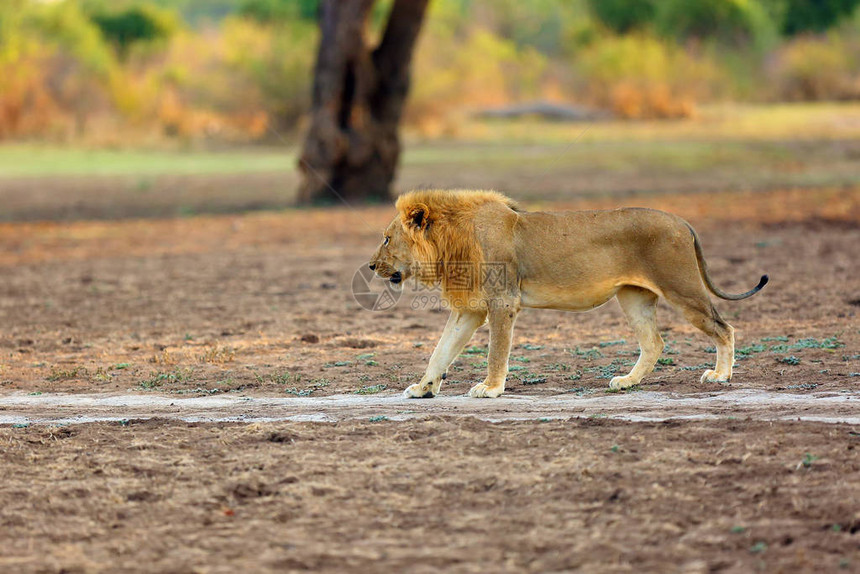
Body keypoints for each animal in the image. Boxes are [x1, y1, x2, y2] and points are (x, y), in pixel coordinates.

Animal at [366, 191, 768, 398]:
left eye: (386, 239)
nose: (370, 266)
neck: (449, 243)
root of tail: (683, 221)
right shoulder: (470, 309)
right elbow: (441, 350)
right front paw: (423, 387)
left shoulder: (502, 301)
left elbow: (496, 352)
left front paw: (491, 388)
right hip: (634, 296)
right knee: (654, 342)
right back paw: (627, 382)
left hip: (681, 287)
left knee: (724, 328)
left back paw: (721, 376)